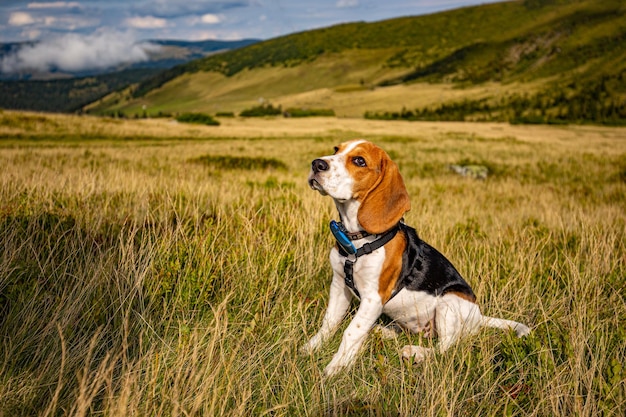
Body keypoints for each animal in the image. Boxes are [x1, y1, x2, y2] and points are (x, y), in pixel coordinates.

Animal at [302, 138, 528, 376]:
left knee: (446, 346)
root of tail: (479, 317)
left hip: (449, 302)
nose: (317, 164)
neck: (357, 240)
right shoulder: (339, 285)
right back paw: (384, 331)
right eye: (336, 149)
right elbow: (329, 322)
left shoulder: (373, 298)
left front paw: (336, 366)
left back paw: (417, 352)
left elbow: (352, 331)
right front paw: (312, 347)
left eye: (359, 161)